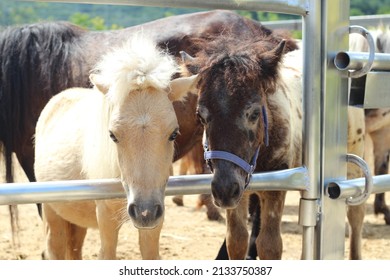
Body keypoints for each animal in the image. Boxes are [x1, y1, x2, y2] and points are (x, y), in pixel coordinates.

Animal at [33, 36, 197, 260]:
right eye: (112, 135)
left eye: (174, 133)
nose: (144, 212)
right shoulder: (106, 216)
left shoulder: (155, 217)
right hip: (52, 212)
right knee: (55, 249)